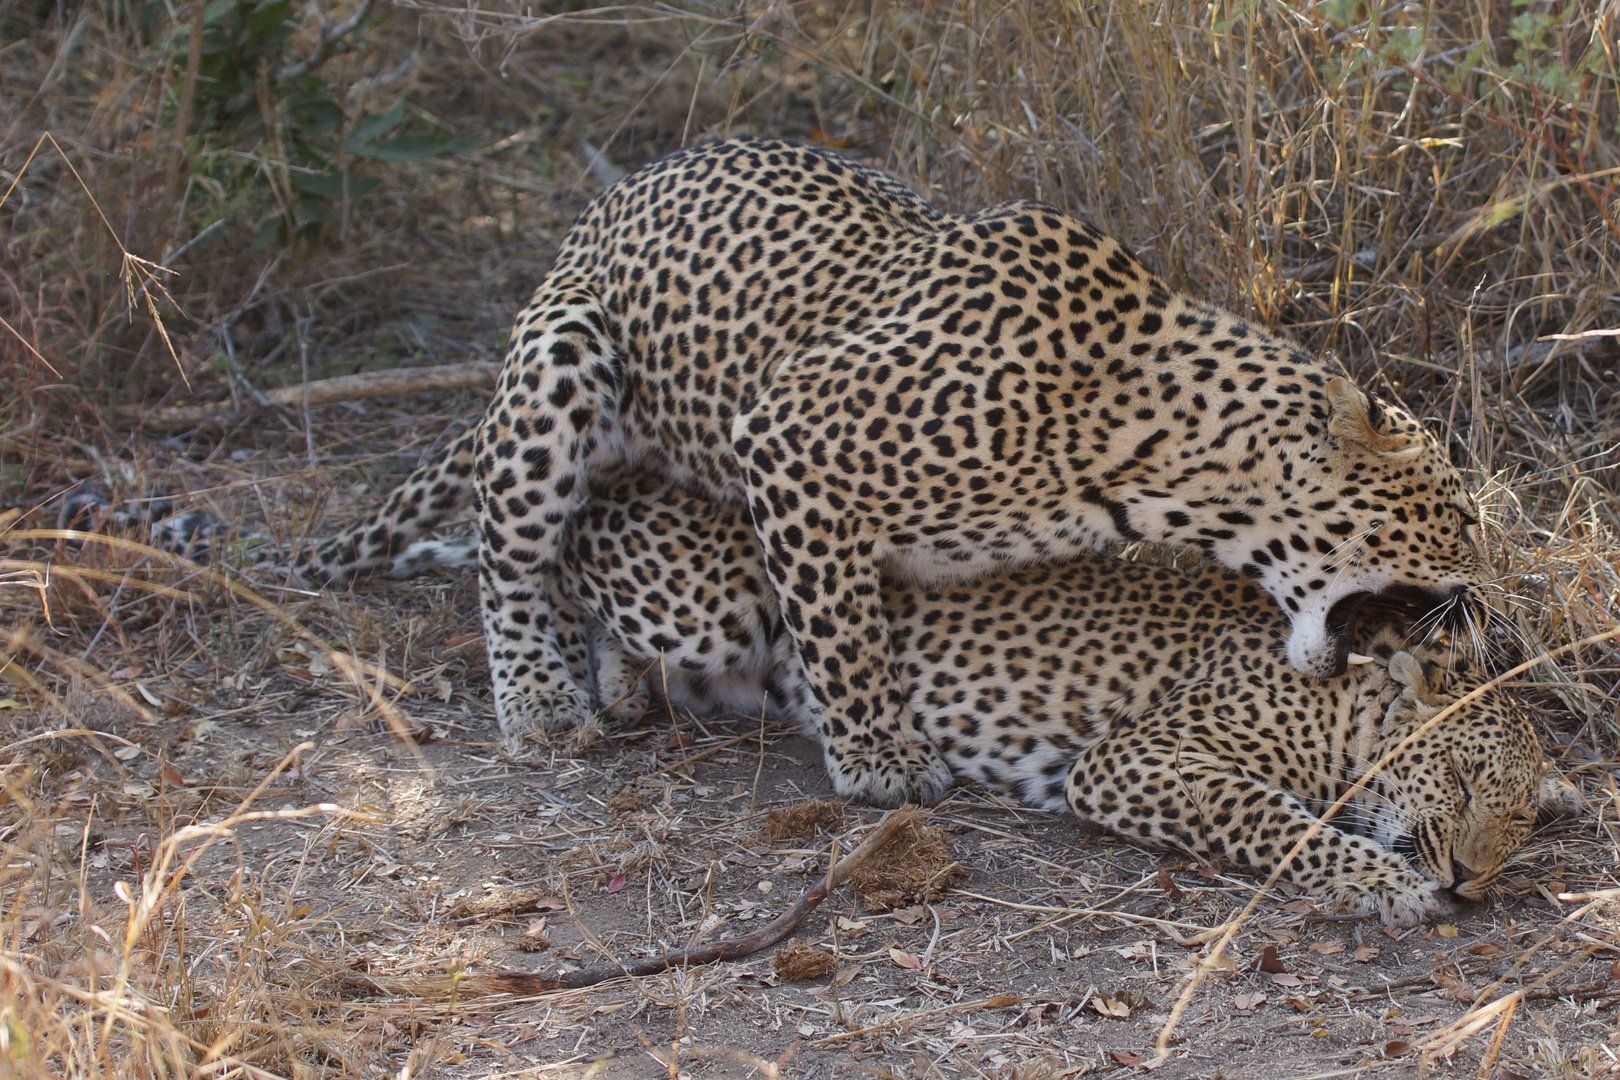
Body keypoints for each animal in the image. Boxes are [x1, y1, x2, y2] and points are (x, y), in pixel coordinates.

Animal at [294, 135, 1490, 806]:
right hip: (564, 357)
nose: (1482, 611)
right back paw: (541, 696)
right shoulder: (792, 438)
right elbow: (837, 628)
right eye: (1459, 522)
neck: (1151, 460)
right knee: (511, 555)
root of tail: (591, 221)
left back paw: (619, 682)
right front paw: (878, 760)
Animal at [398, 476, 1574, 926]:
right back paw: (575, 688)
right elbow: (1277, 820)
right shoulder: (1136, 758)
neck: (1343, 712)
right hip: (709, 596)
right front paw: (1388, 883)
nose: (1473, 880)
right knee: (555, 550)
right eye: (1464, 778)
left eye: (1513, 819)